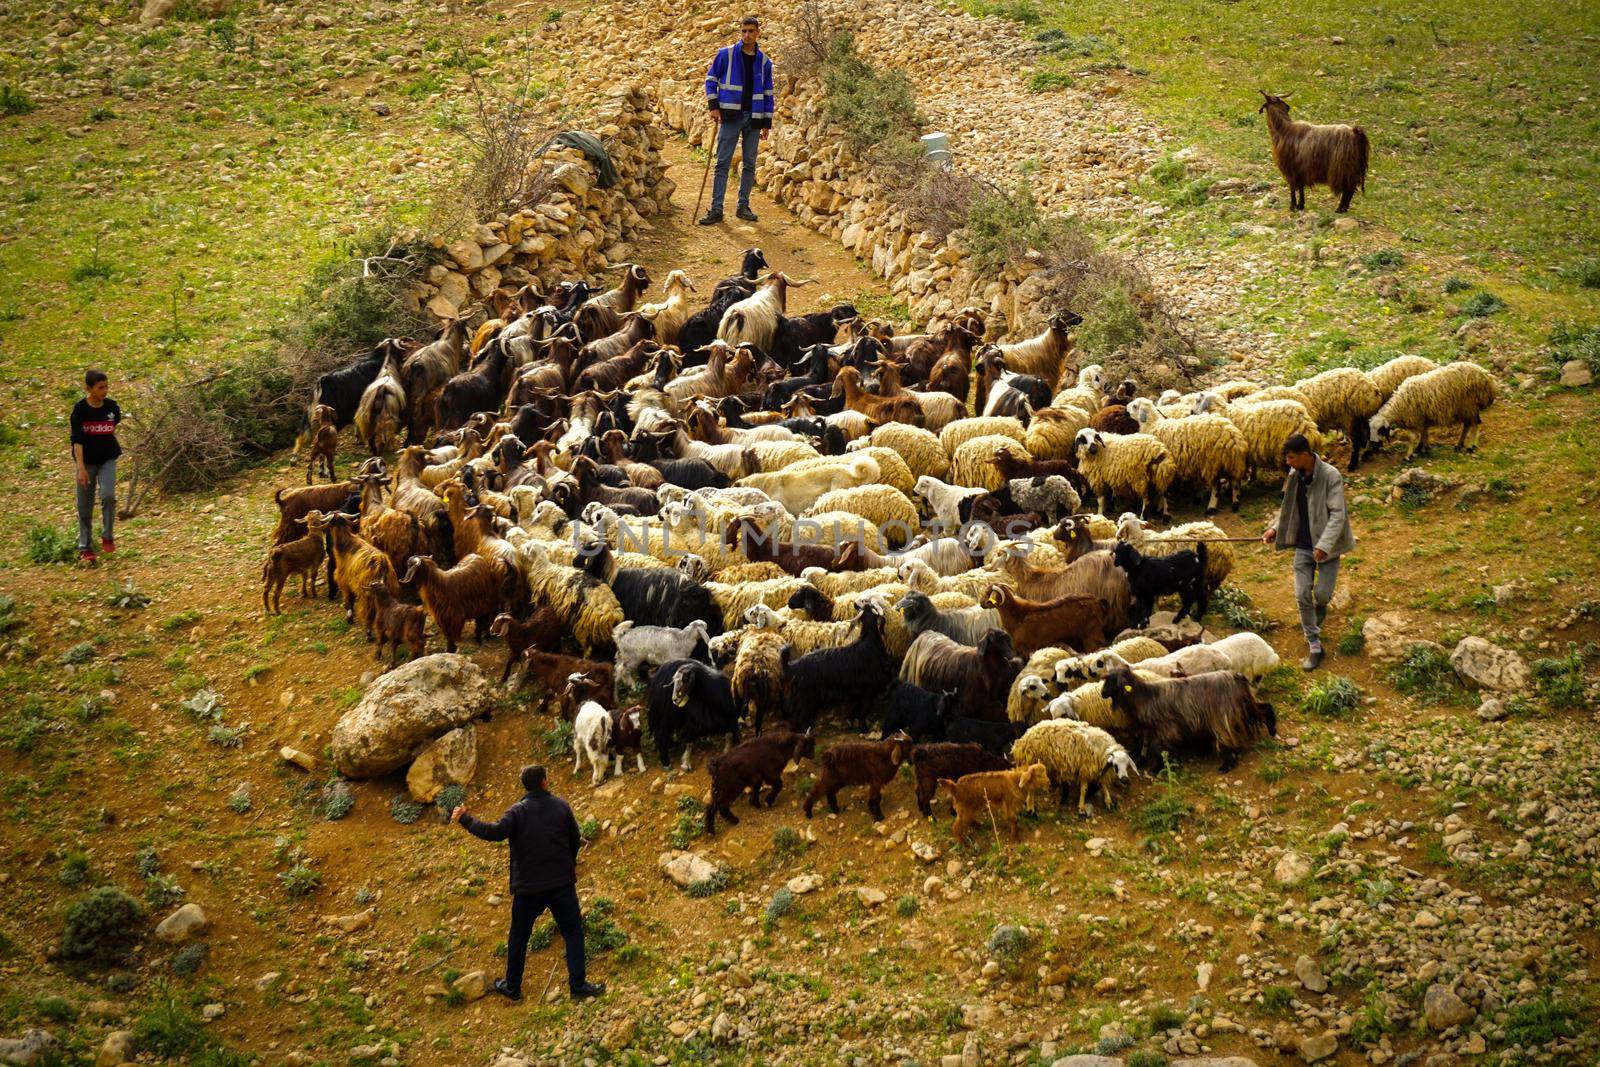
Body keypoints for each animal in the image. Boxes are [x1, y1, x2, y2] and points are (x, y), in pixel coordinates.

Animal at [979, 585, 1107, 659]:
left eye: (988, 594)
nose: (981, 603)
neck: (1018, 616)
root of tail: (1097, 601)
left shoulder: (1028, 649)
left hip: (1091, 635)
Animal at [1011, 716, 1139, 819]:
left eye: (1127, 765)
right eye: (1115, 765)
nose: (1125, 780)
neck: (1101, 748)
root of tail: (1020, 742)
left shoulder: (1097, 769)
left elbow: (1103, 785)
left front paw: (1108, 802)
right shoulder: (1085, 769)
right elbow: (1084, 790)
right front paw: (1081, 809)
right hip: (1033, 763)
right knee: (1031, 789)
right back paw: (1031, 811)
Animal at [1100, 662, 1273, 771]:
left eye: (1111, 680)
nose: (1102, 693)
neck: (1146, 697)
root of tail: (1237, 676)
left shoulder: (1166, 729)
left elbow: (1158, 749)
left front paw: (1156, 769)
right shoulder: (1149, 729)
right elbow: (1147, 746)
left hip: (1223, 717)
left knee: (1228, 739)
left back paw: (1226, 765)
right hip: (1243, 706)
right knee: (1262, 709)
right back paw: (1272, 728)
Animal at [1363, 361, 1497, 457]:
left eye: (1380, 431)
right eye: (1370, 431)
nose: (1374, 445)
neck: (1399, 405)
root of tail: (1488, 378)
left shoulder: (1416, 418)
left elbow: (1413, 436)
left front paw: (1409, 455)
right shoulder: (1423, 417)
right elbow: (1424, 432)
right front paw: (1423, 448)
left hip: (1470, 405)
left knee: (1474, 424)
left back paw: (1471, 446)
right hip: (1465, 409)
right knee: (1468, 425)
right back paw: (1459, 445)